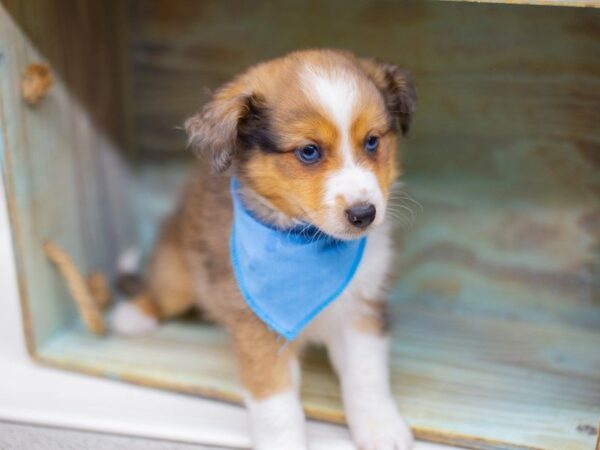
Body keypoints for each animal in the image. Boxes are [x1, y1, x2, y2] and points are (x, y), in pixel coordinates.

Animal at [111, 49, 418, 450]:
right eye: (308, 151)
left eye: (371, 142)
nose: (364, 214)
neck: (307, 241)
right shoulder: (257, 327)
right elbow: (276, 405)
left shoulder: (361, 308)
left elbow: (367, 379)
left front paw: (380, 427)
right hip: (179, 273)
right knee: (160, 290)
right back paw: (134, 314)